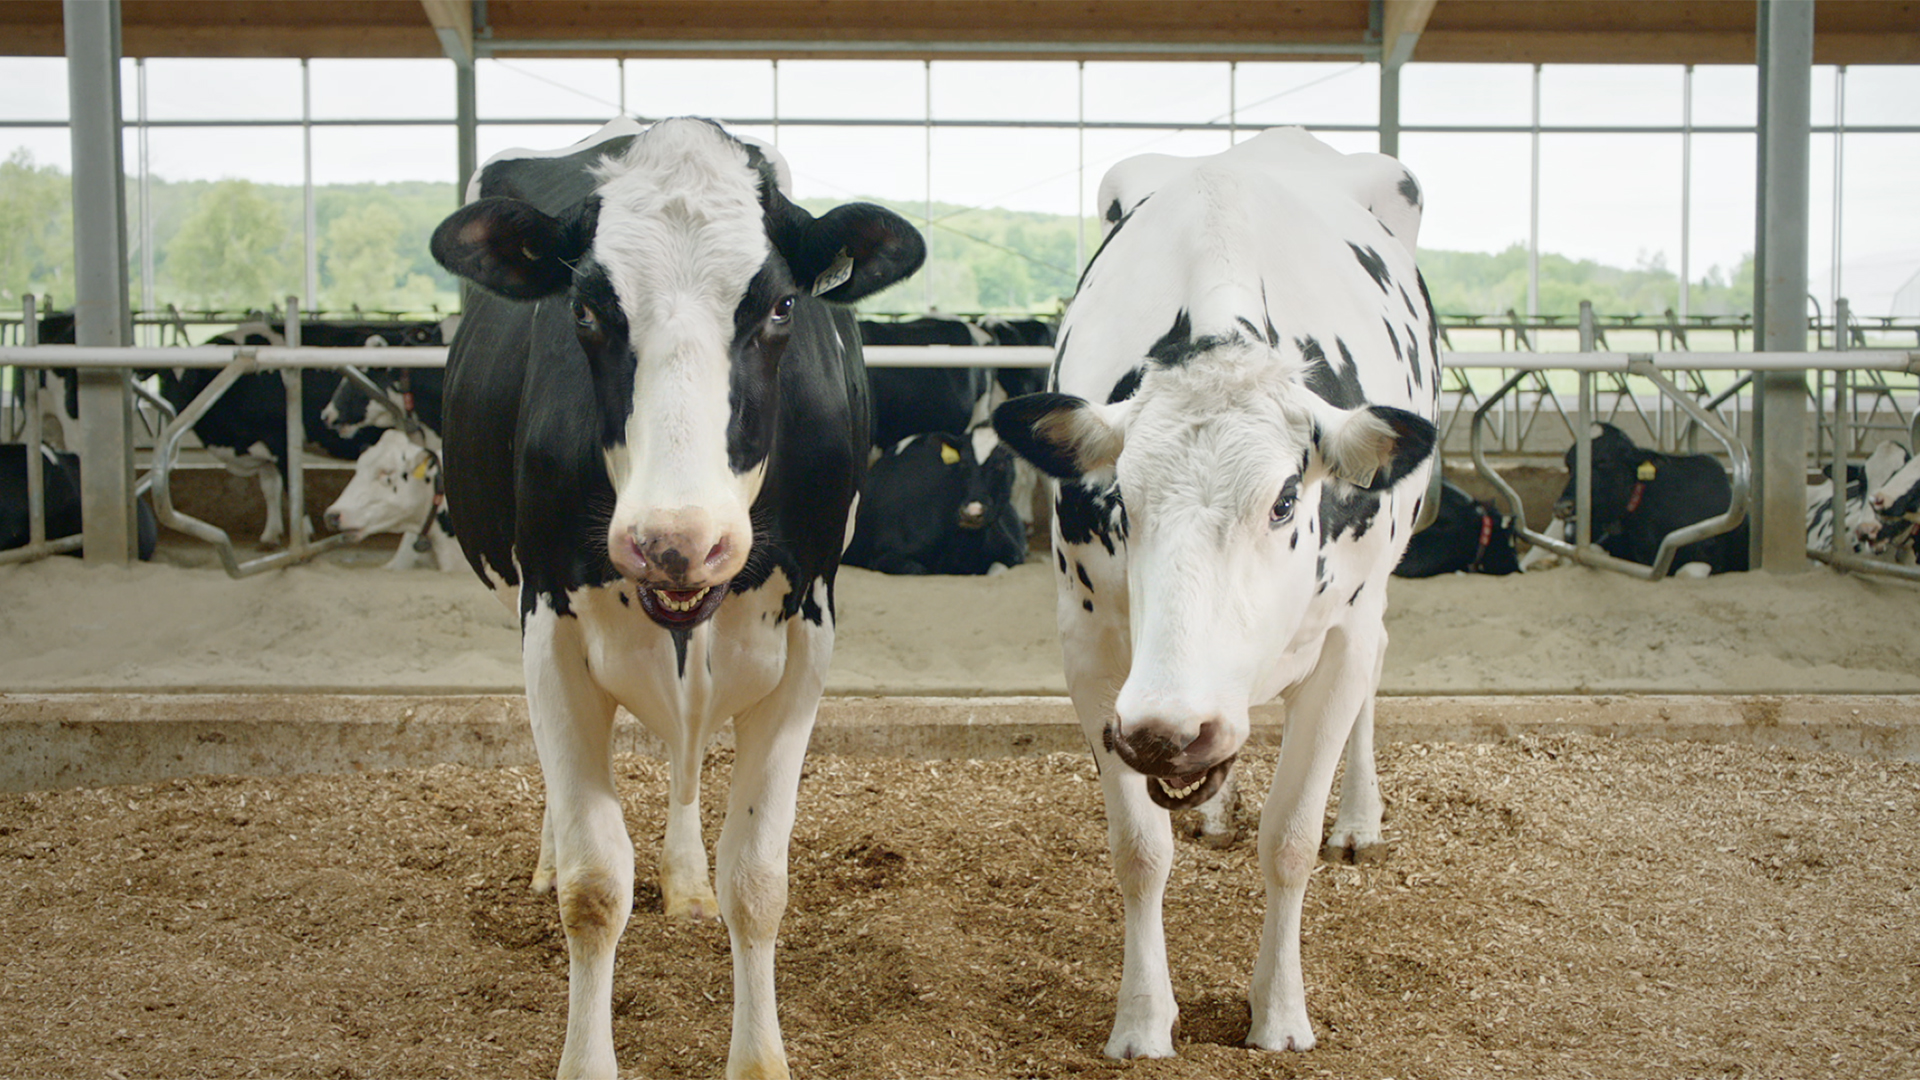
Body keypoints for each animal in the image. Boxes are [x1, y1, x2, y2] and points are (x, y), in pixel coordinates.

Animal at [428, 116, 923, 1079]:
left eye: (780, 307)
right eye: (586, 309)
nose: (675, 540)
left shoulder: (808, 639)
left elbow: (758, 879)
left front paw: (758, 1058)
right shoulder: (547, 623)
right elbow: (593, 886)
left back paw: (687, 878)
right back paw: (552, 855)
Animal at [842, 421, 1027, 575]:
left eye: (1002, 464)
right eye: (963, 464)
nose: (972, 512)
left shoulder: (1013, 553)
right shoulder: (884, 557)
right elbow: (918, 570)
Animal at [992, 127, 1439, 1059]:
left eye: (1284, 501)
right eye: (1121, 500)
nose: (1171, 732)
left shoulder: (1341, 636)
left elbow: (1290, 839)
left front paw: (1280, 1013)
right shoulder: (1091, 649)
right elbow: (1138, 849)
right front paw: (1140, 1018)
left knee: (1377, 670)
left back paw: (1358, 818)